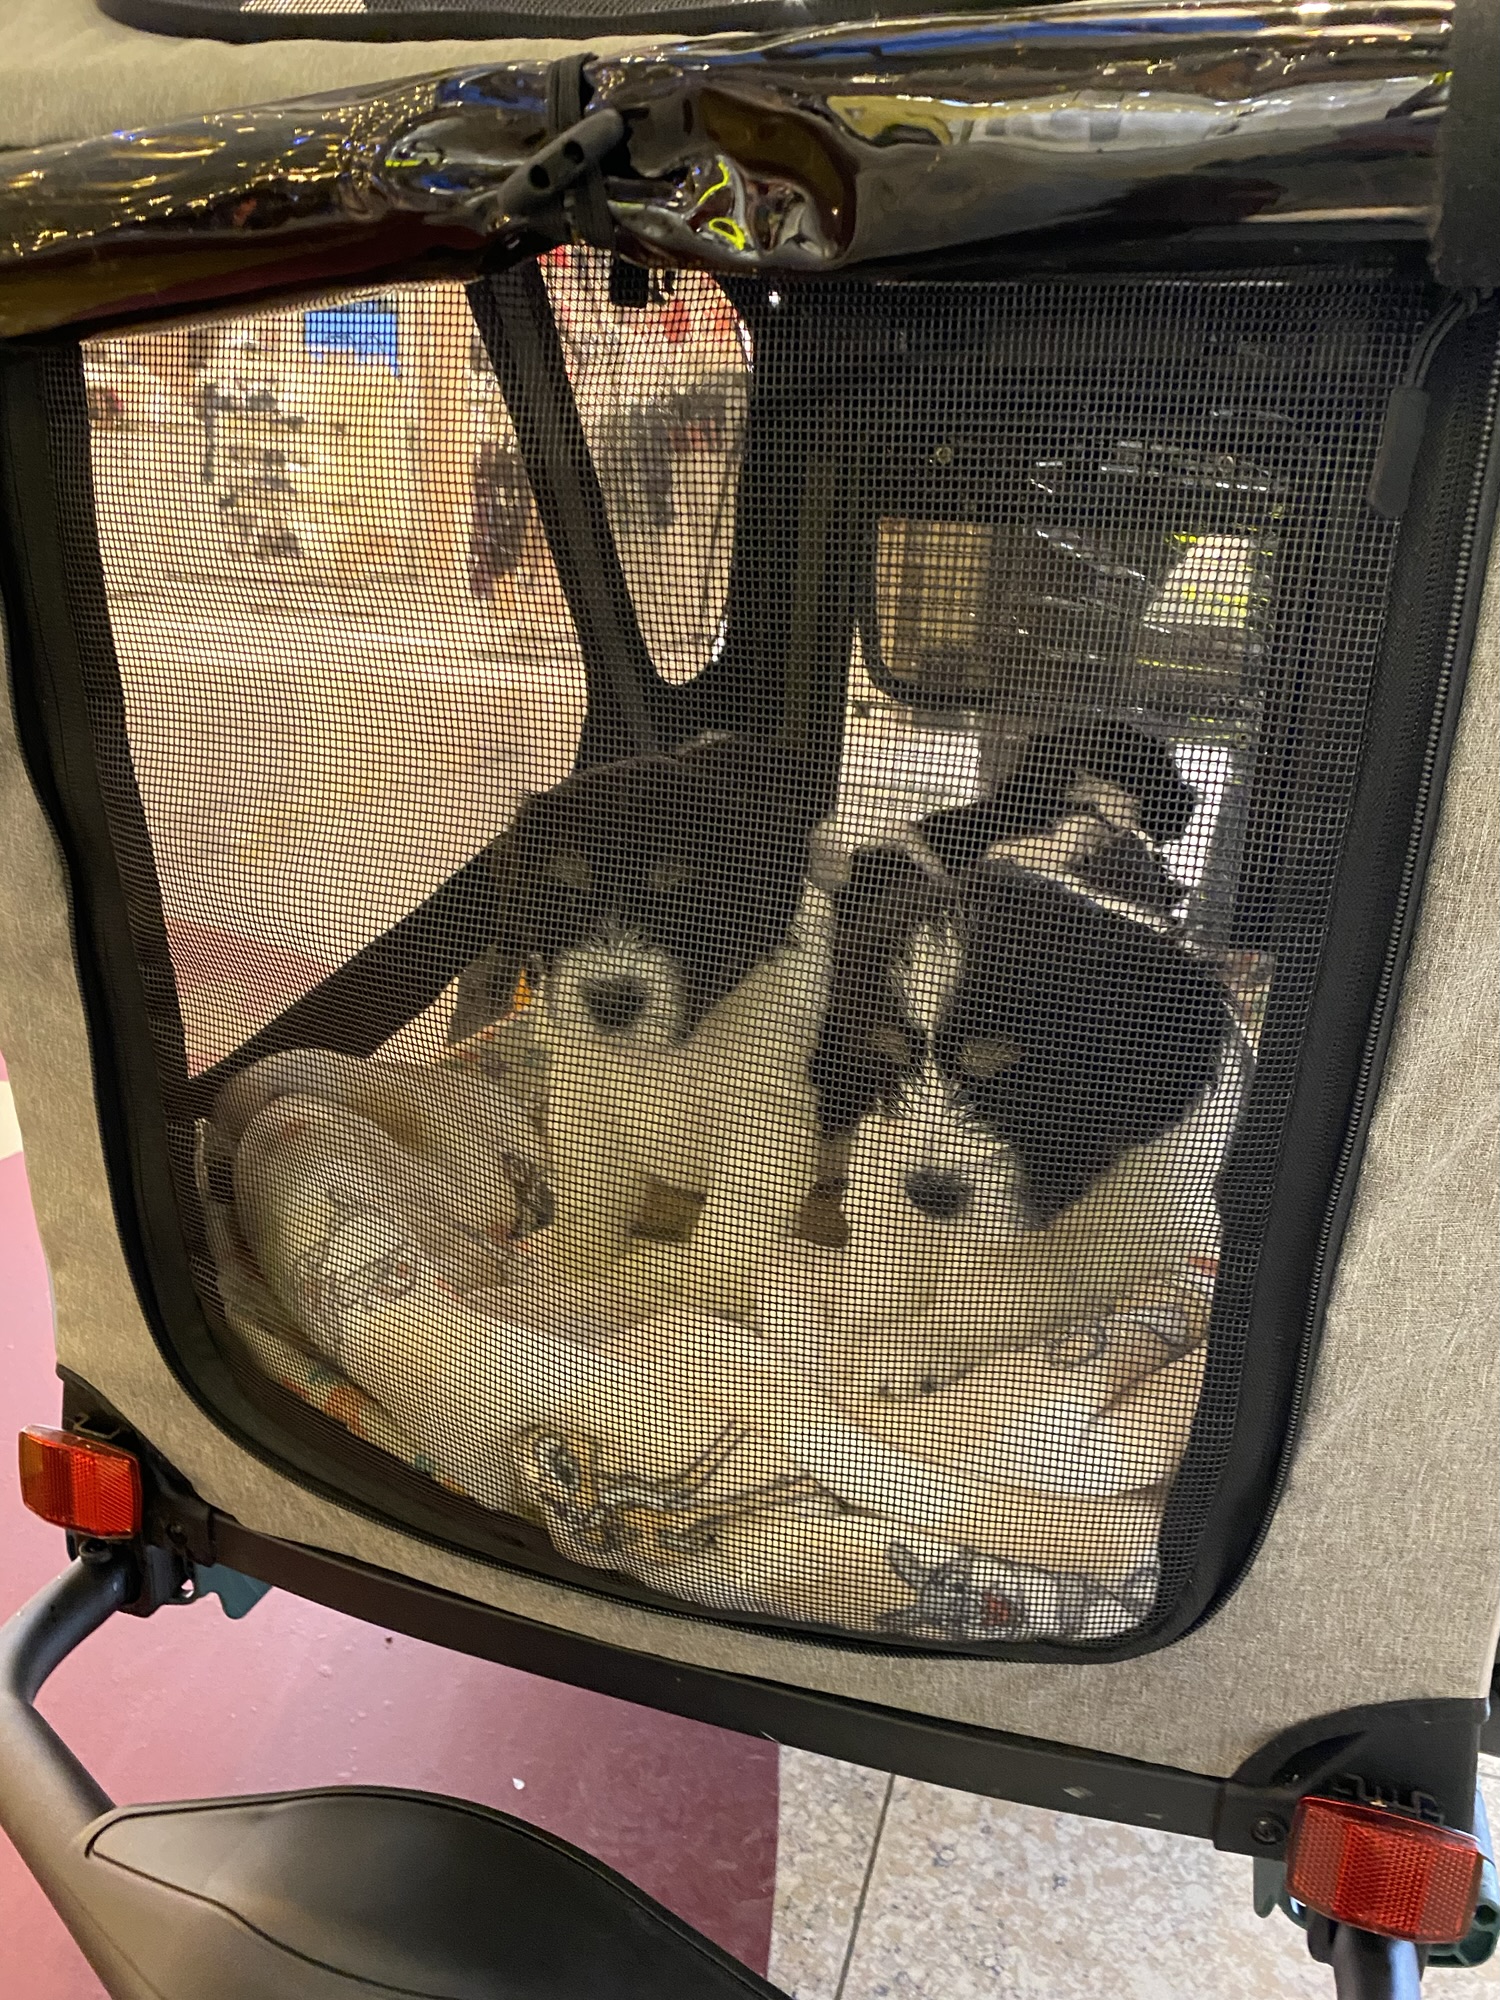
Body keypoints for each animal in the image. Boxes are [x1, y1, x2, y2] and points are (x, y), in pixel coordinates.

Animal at [454, 733, 833, 1319]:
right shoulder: (586, 1101)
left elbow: (727, 1234)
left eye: (679, 884)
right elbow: (588, 1203)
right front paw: (562, 1274)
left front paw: (664, 1281)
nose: (612, 1002)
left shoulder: (766, 1118)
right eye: (563, 883)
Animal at [809, 841, 1241, 1398]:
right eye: (886, 1060)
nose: (932, 1193)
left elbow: (1011, 1288)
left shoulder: (1136, 1237)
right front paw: (862, 1296)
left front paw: (899, 1353)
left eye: (1016, 1081)